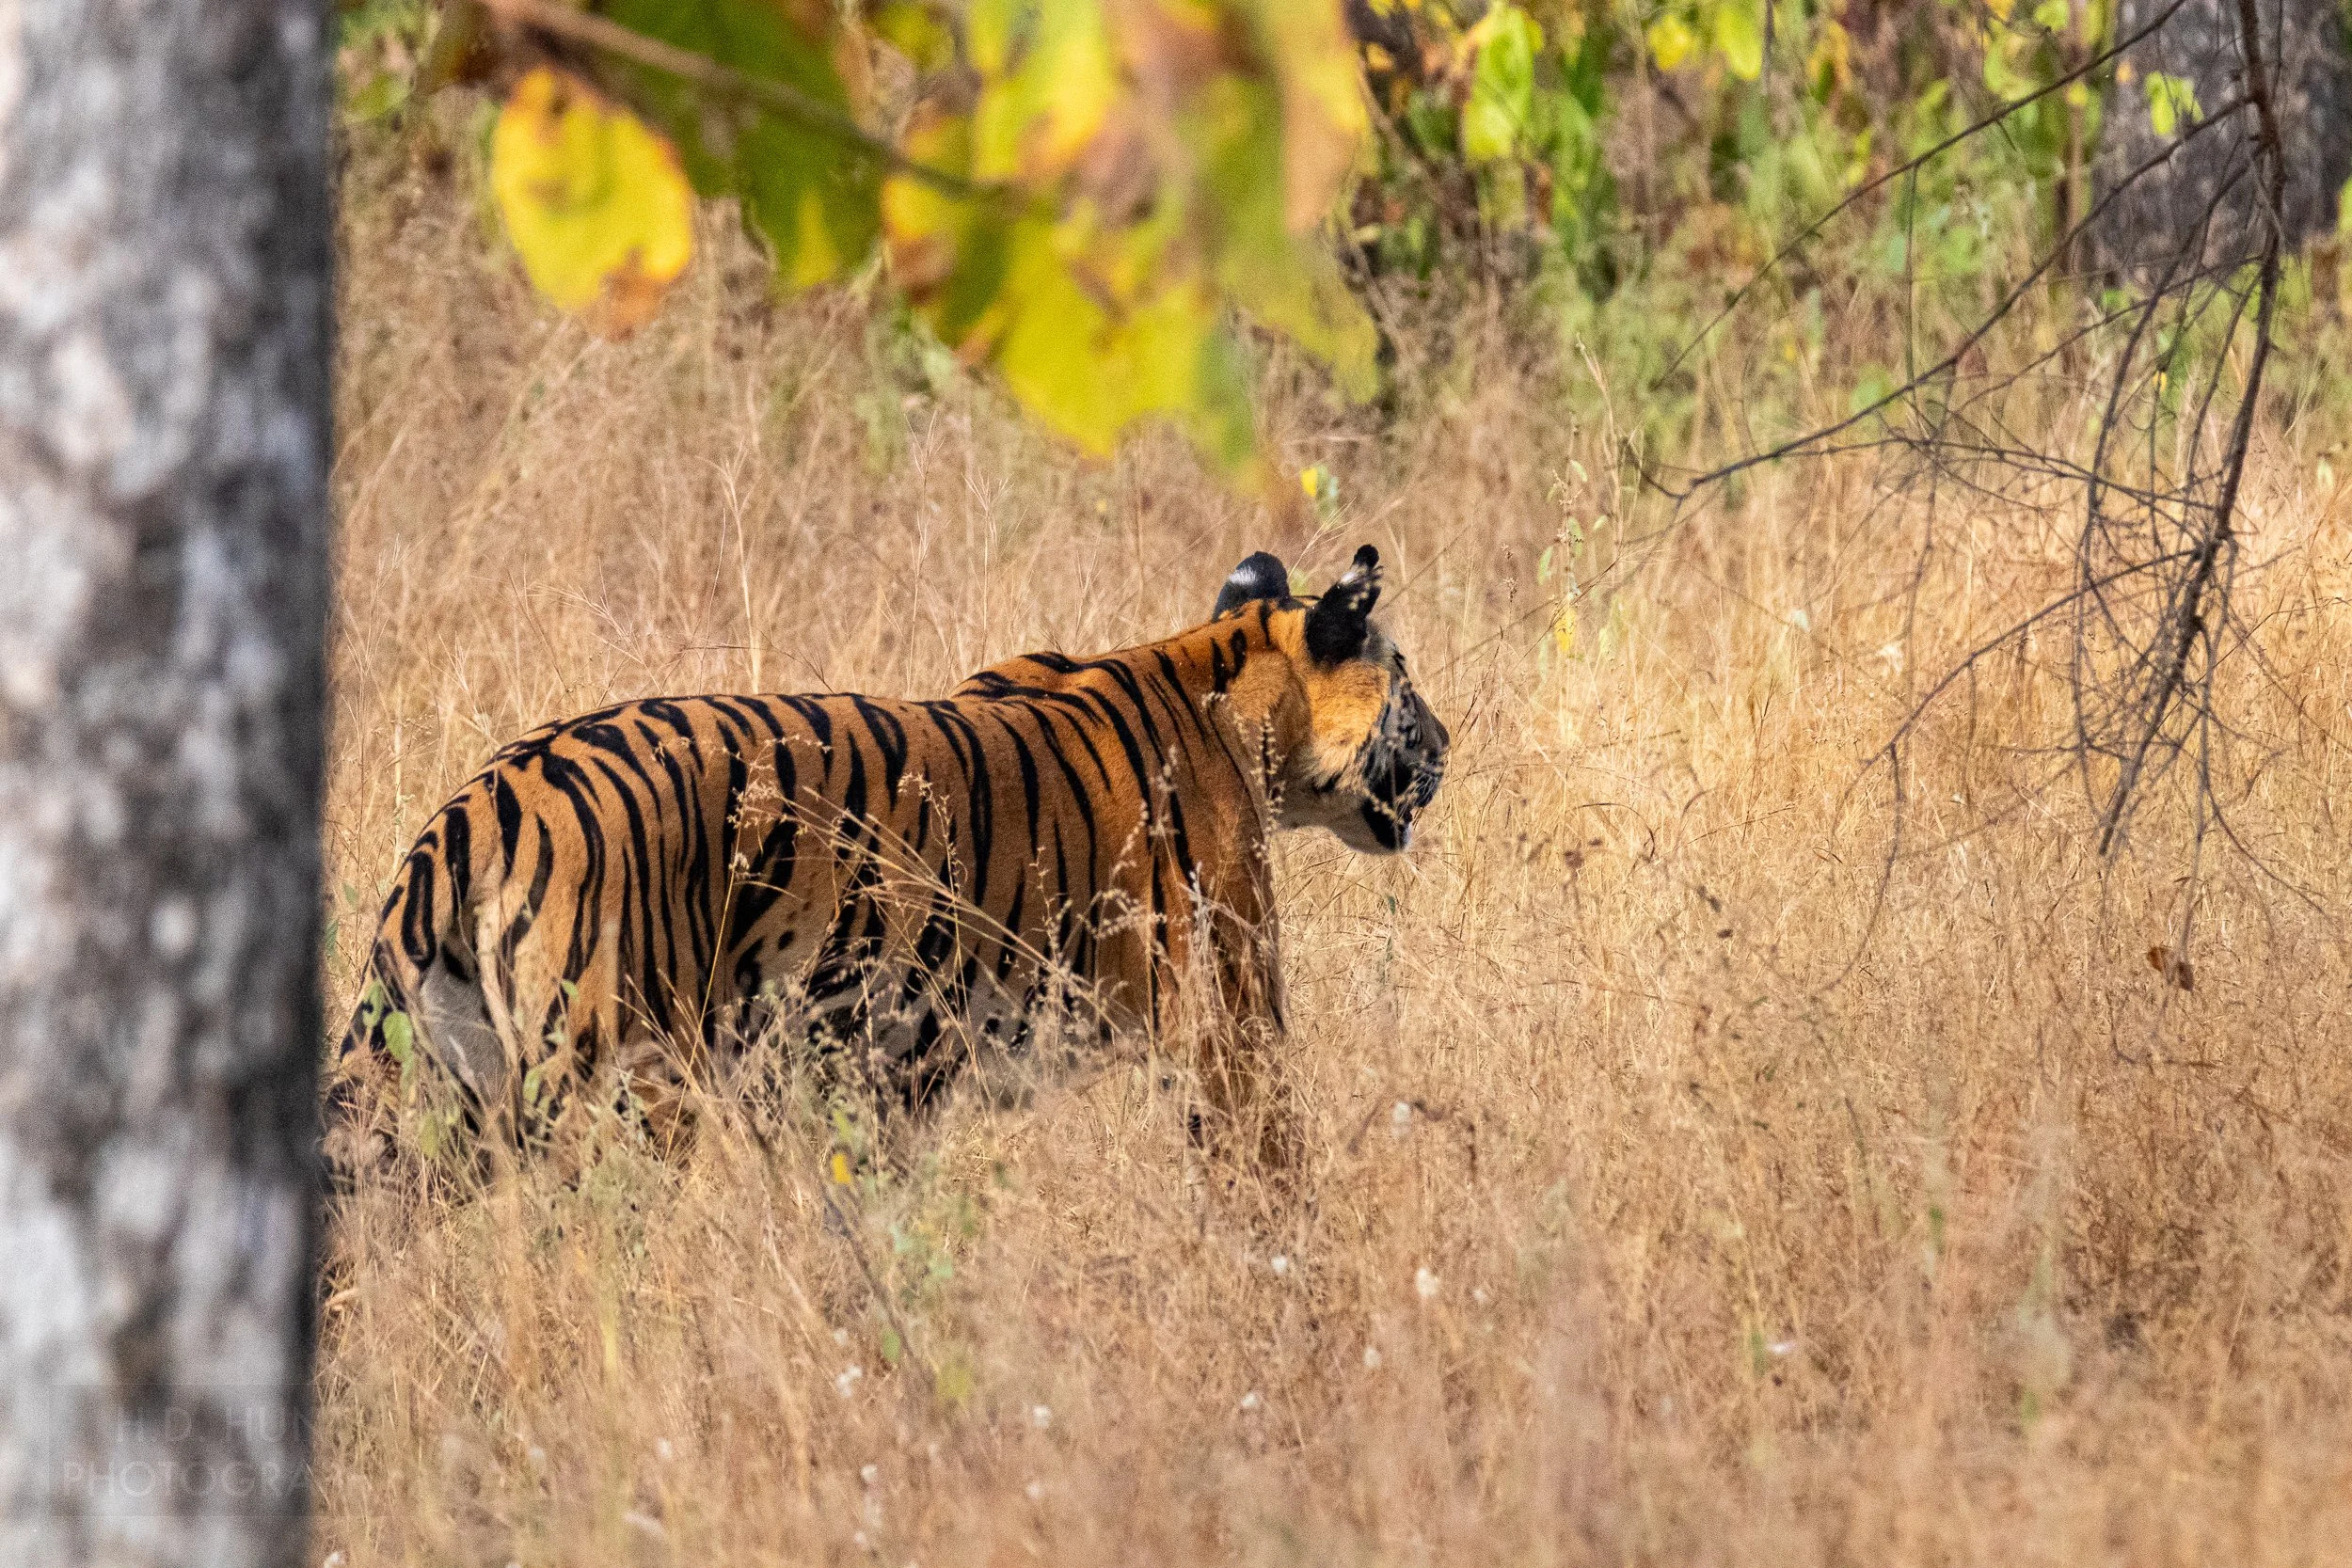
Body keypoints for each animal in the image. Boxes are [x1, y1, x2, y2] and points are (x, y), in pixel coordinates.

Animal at [326, 543, 1448, 1179]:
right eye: (1405, 672)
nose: (1446, 742)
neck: (1225, 678)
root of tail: (477, 805)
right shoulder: (1230, 1024)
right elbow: (1268, 1181)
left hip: (435, 1092)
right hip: (617, 1082)